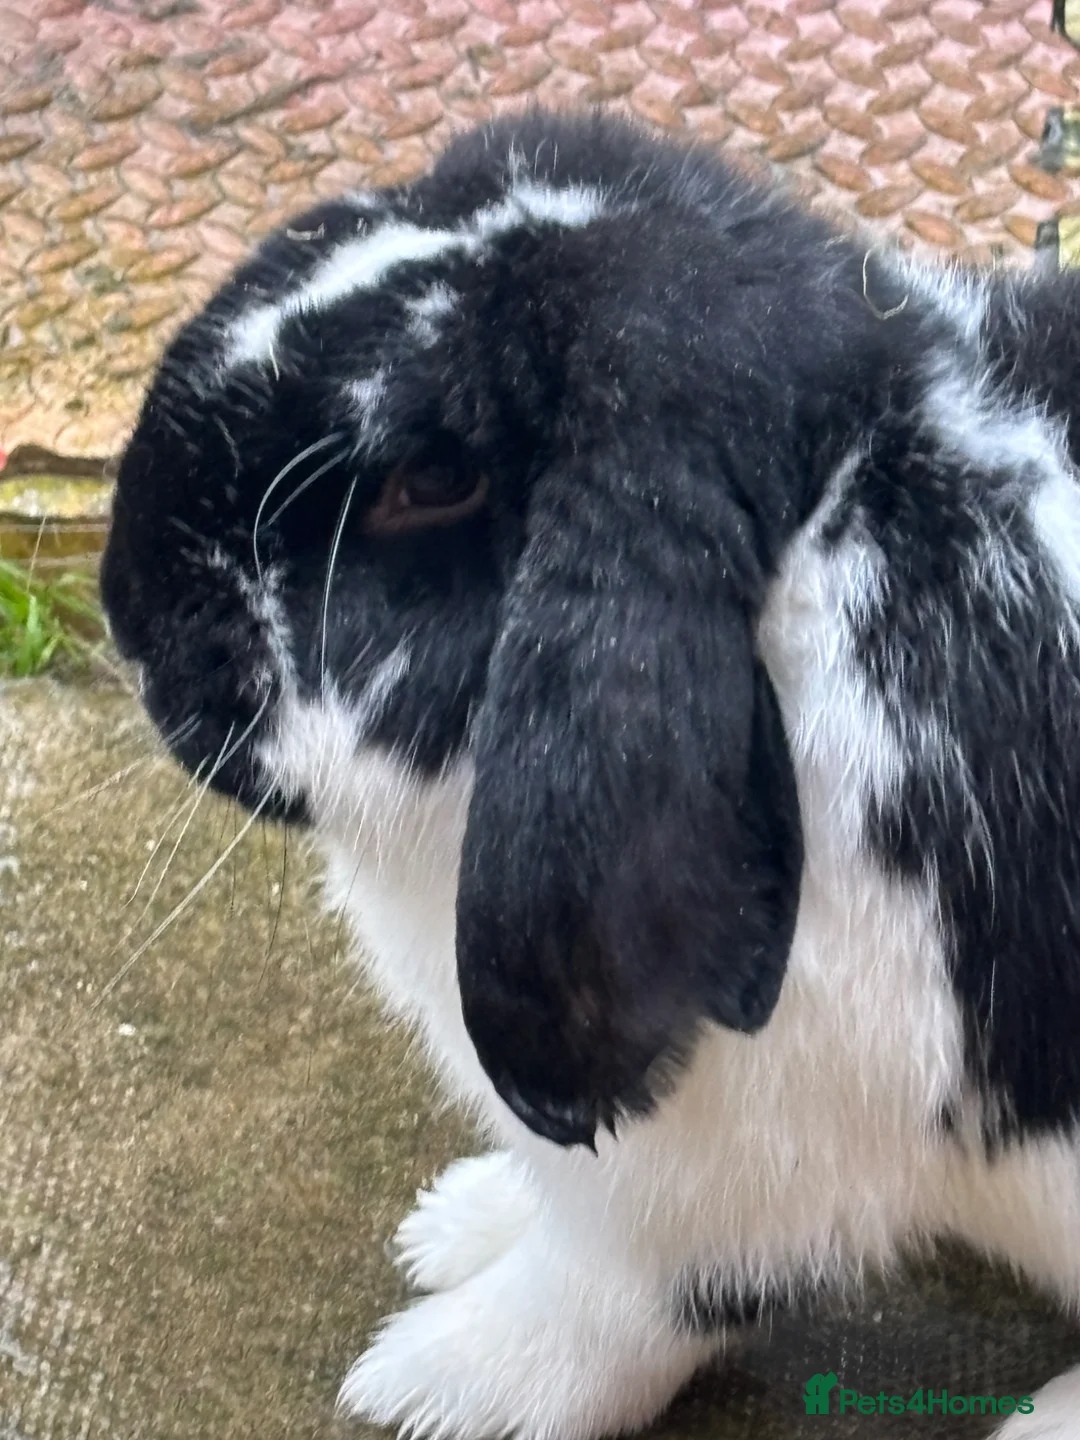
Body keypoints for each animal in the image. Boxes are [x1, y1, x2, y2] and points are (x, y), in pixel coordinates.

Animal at [101, 107, 1080, 1440]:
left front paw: (441, 1385)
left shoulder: (722, 1174)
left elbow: (620, 1296)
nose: (124, 601)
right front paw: (459, 1223)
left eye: (428, 483)